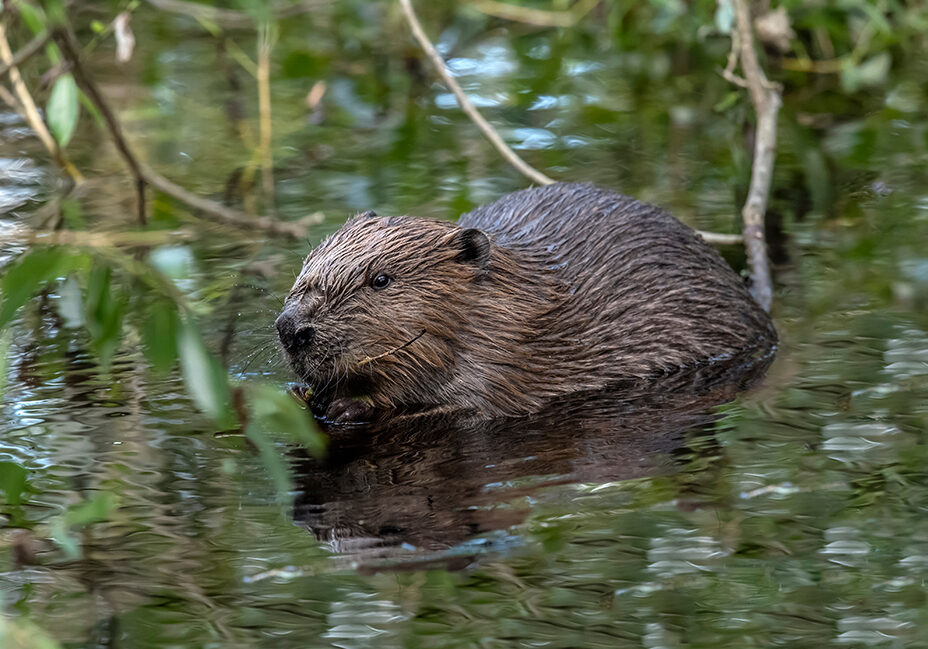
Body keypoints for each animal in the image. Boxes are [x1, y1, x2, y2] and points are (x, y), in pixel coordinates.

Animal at [276, 181, 776, 420]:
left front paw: (345, 406)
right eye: (307, 262)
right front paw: (306, 395)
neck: (511, 299)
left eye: (380, 279)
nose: (290, 328)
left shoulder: (505, 359)